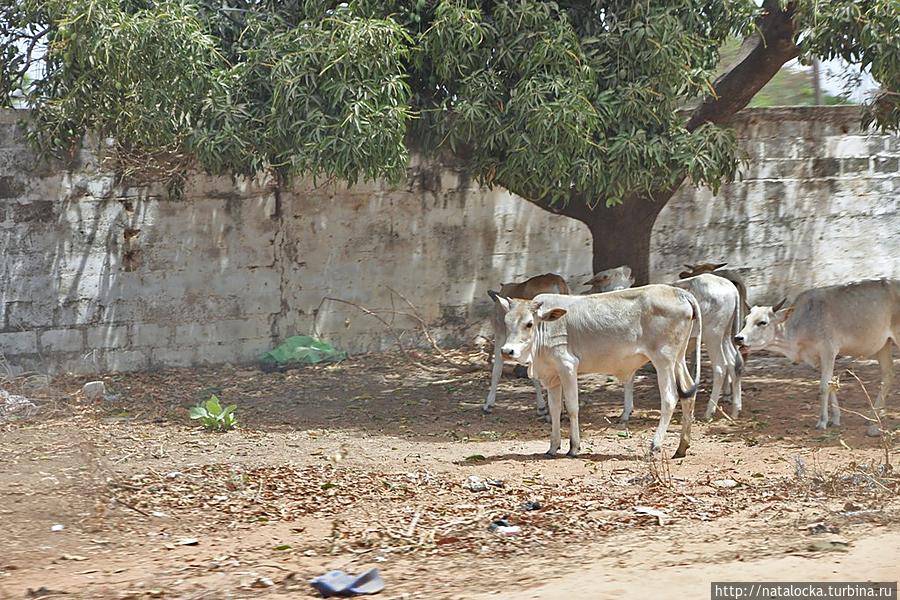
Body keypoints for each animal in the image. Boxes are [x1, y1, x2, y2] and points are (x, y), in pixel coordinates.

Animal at [492, 286, 704, 460]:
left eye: (529, 324)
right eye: (506, 322)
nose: (507, 351)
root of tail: (680, 292)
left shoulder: (567, 367)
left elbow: (572, 407)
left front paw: (574, 447)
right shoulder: (553, 377)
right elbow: (555, 410)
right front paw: (553, 447)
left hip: (663, 360)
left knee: (670, 398)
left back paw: (655, 446)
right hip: (678, 358)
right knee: (688, 393)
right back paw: (682, 447)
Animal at [736, 278, 896, 434]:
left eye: (762, 322)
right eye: (745, 321)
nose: (738, 338)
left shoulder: (828, 351)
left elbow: (824, 387)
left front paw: (822, 421)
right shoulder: (817, 358)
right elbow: (832, 383)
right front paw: (835, 419)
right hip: (884, 345)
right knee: (887, 377)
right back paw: (872, 417)